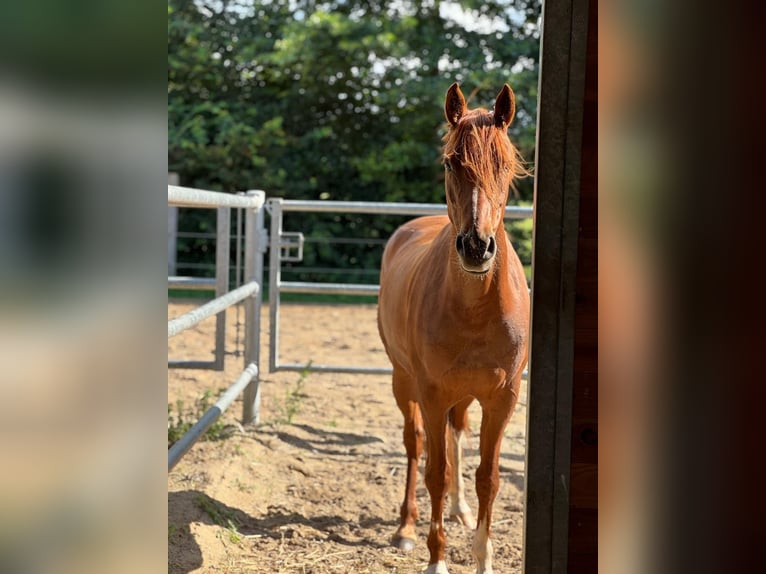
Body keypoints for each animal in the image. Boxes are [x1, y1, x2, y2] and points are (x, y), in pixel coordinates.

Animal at [377, 83, 530, 574]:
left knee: (456, 434)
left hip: (462, 394)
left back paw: (460, 510)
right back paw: (406, 527)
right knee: (416, 445)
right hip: (403, 381)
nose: (477, 247)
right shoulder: (431, 392)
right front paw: (436, 559)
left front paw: (482, 558)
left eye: (505, 164)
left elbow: (488, 477)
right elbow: (434, 472)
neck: (475, 309)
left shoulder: (503, 398)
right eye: (450, 163)